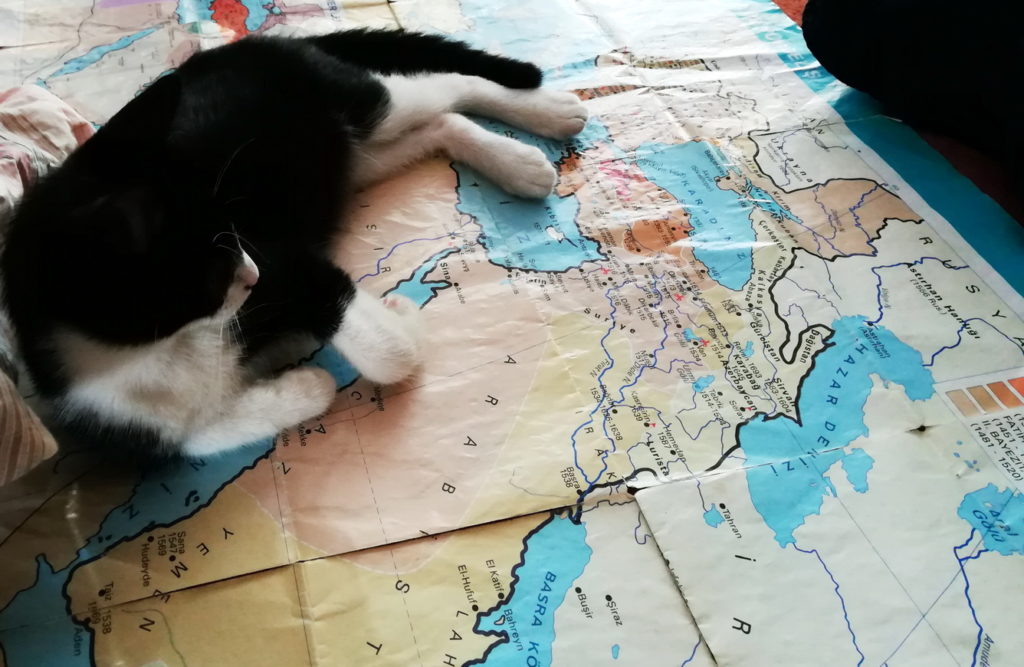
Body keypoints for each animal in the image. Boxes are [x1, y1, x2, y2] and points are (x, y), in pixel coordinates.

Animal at [0, 29, 585, 459]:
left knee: (443, 86)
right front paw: (306, 385)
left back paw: (545, 119)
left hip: (354, 103)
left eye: (231, 235)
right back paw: (512, 159)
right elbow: (198, 437)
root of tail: (246, 44)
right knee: (440, 123)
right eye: (212, 264)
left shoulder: (290, 261)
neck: (153, 351)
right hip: (346, 160)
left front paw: (399, 317)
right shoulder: (133, 421)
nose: (253, 276)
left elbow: (384, 353)